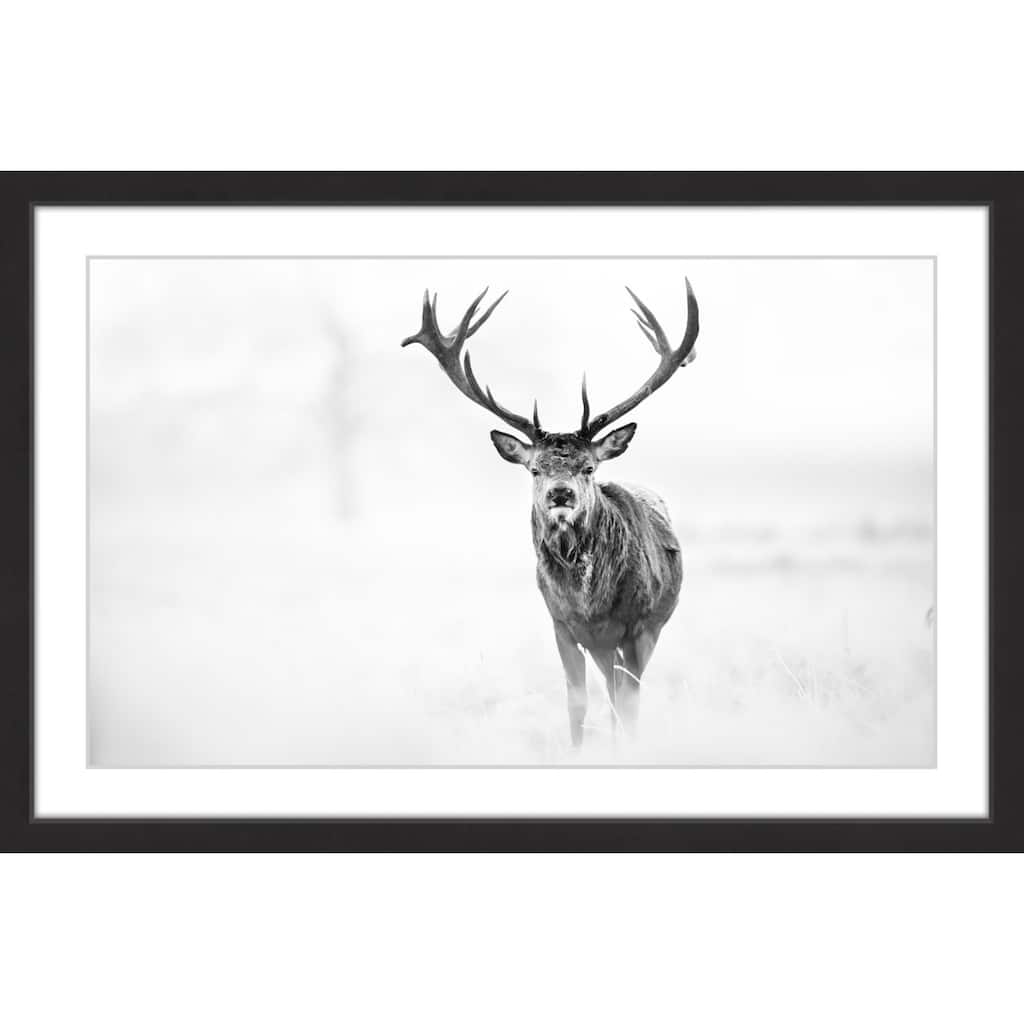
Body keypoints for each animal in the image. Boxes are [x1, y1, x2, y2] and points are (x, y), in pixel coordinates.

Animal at [401, 281, 700, 748]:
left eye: (589, 467)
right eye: (535, 469)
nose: (561, 493)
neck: (589, 604)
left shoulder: (637, 626)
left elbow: (629, 706)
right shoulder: (561, 624)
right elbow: (577, 702)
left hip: (651, 626)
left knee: (622, 694)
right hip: (602, 646)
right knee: (609, 690)